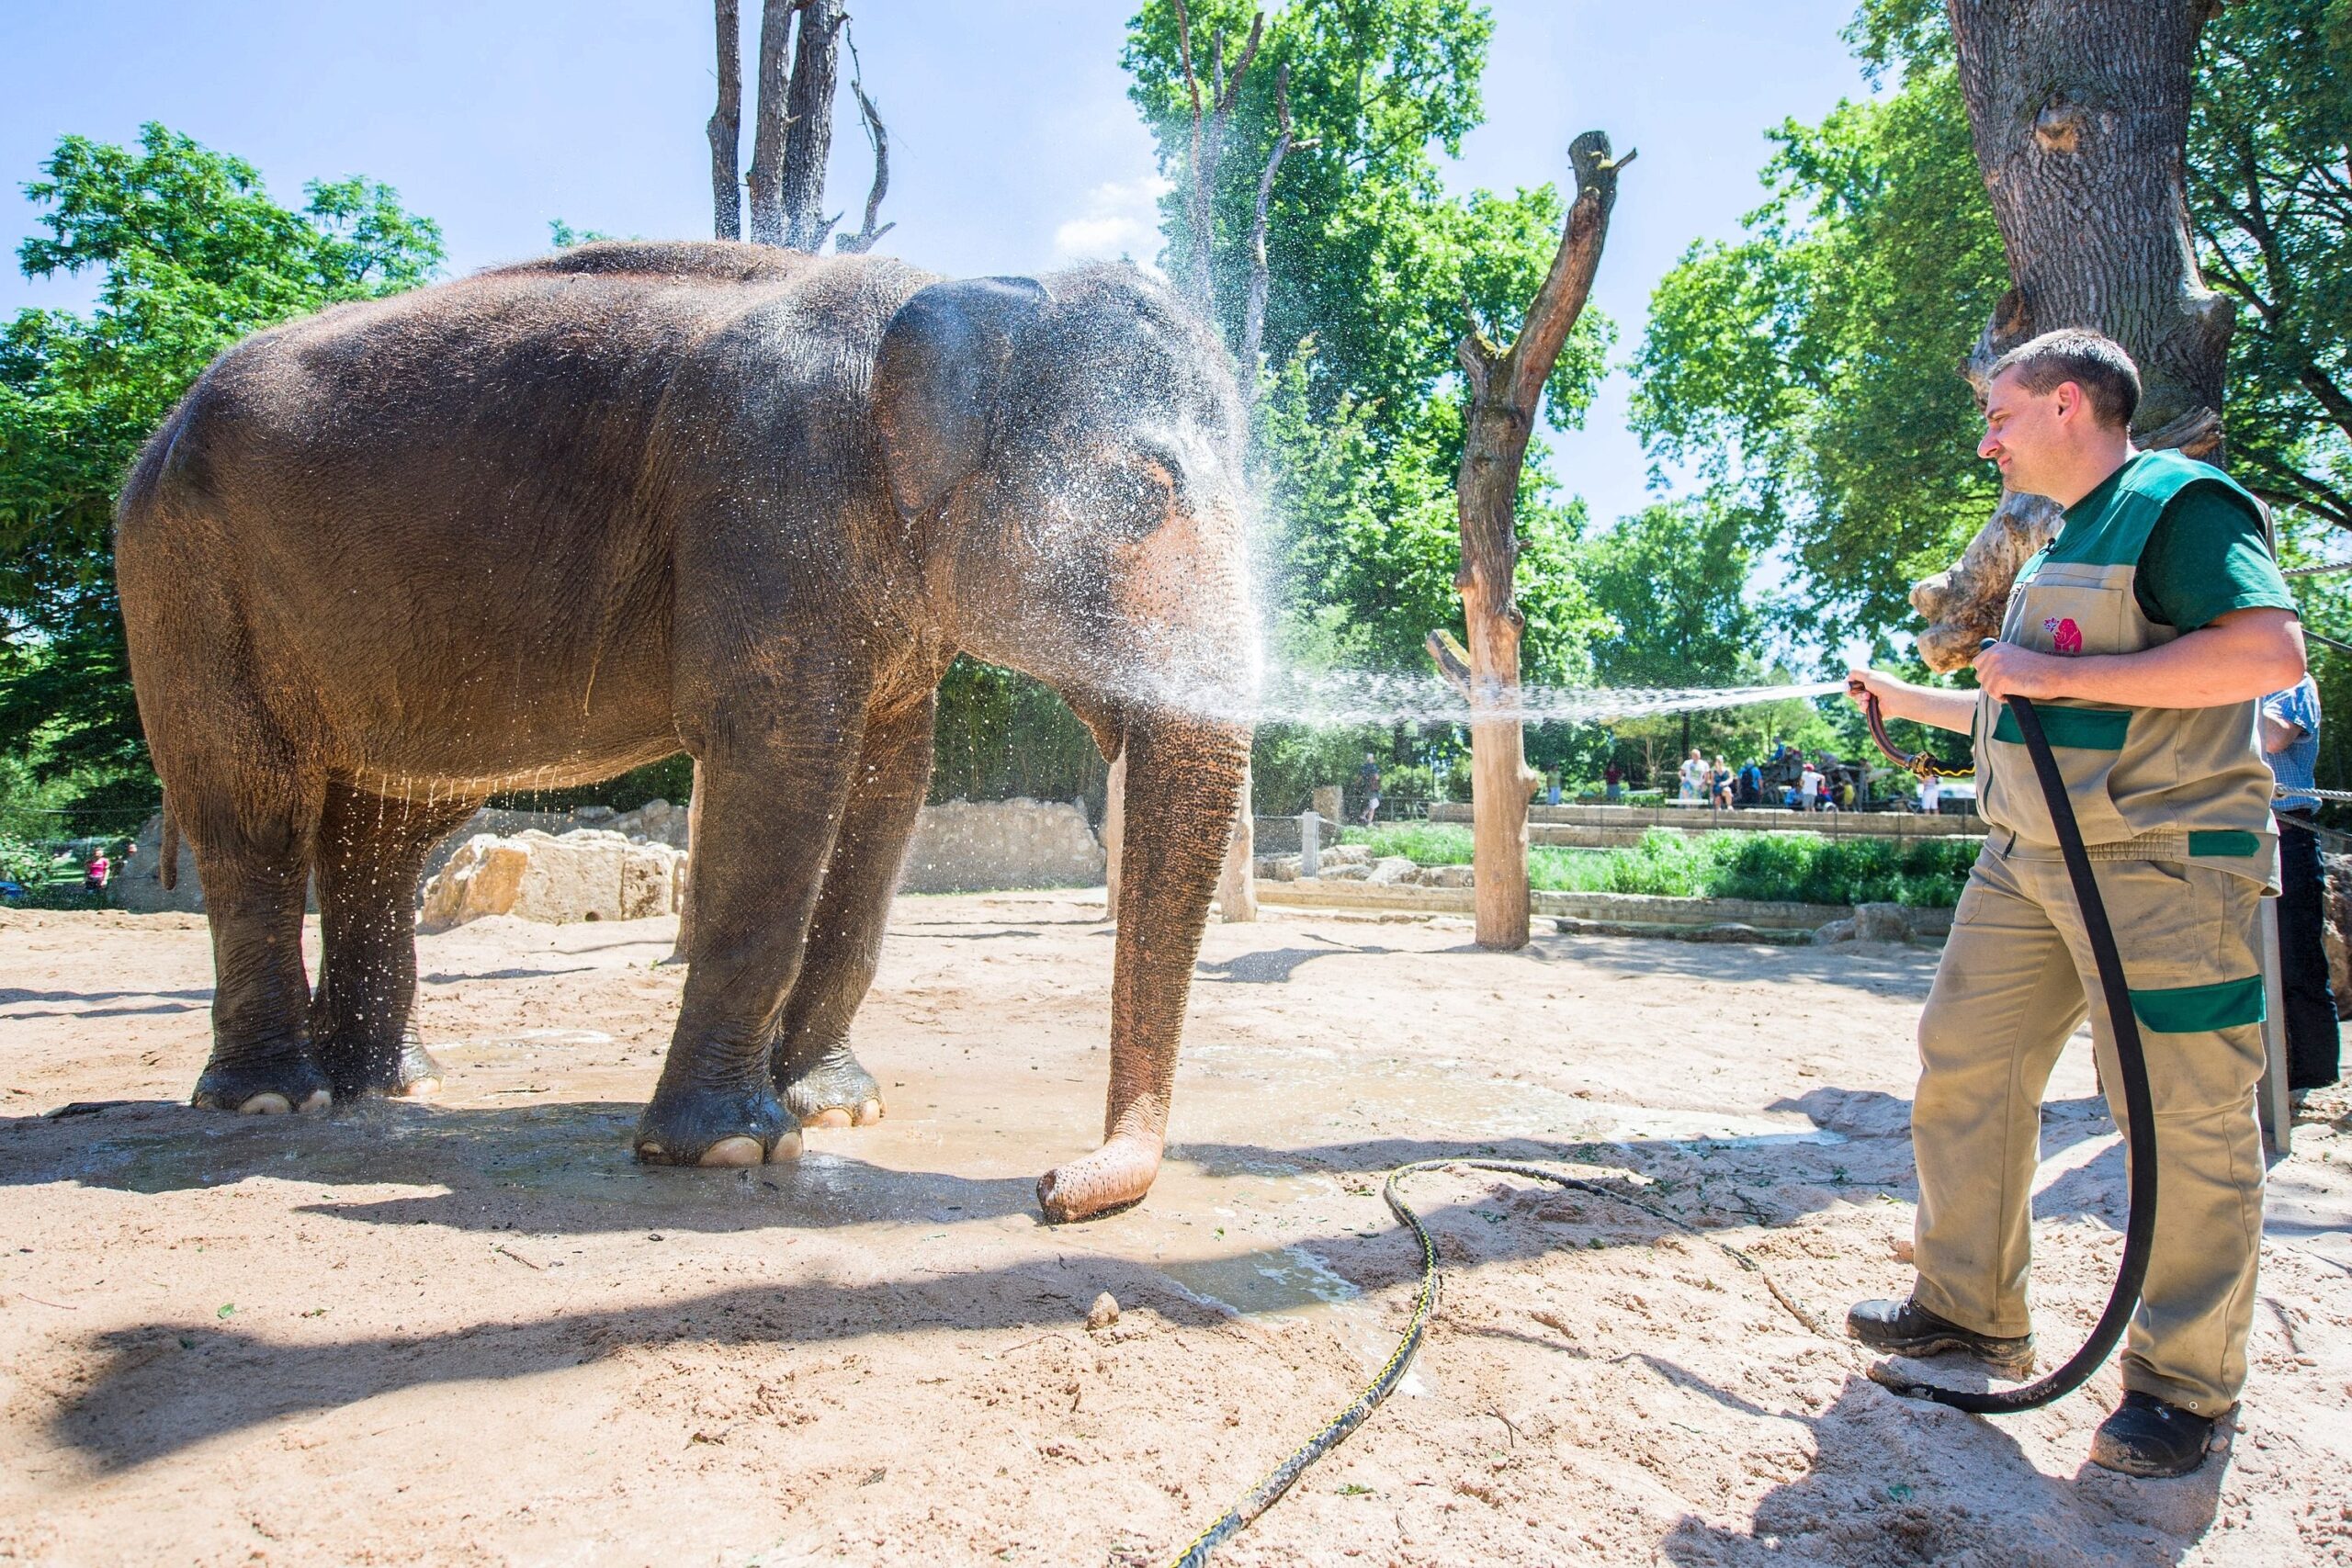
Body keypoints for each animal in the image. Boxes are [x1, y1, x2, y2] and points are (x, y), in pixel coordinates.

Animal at [114, 242, 1250, 1222]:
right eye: (1136, 495)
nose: (1052, 1185)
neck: (954, 283)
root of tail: (159, 432)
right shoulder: (769, 504)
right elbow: (783, 763)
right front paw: (736, 1146)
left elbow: (889, 789)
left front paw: (839, 1108)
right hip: (184, 578)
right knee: (252, 814)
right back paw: (275, 1097)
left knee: (385, 833)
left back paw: (392, 1089)